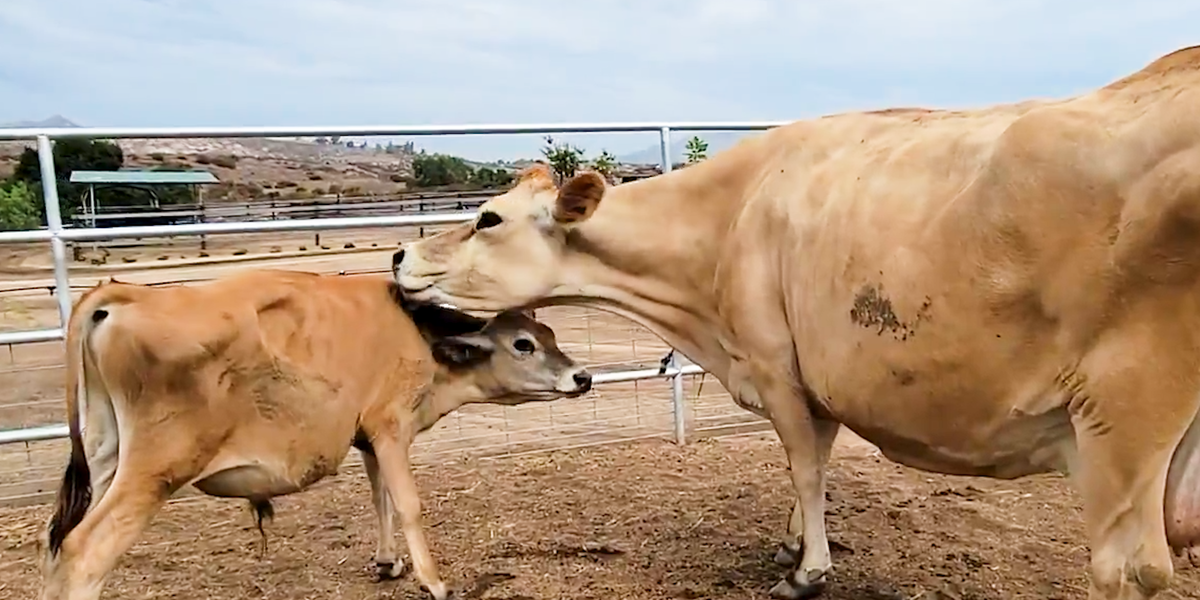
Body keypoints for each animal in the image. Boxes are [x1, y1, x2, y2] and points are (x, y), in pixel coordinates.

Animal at [38, 268, 594, 600]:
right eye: (523, 344)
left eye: (549, 335)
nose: (582, 377)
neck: (415, 333)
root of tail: (125, 296)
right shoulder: (391, 427)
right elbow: (408, 504)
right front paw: (434, 581)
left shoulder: (368, 435)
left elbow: (380, 498)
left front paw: (387, 563)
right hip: (154, 470)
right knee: (86, 550)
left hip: (108, 459)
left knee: (61, 546)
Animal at [393, 45, 1200, 600]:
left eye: (488, 218)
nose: (399, 252)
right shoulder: (820, 369)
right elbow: (818, 457)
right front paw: (791, 545)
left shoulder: (774, 362)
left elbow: (803, 464)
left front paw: (808, 571)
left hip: (1121, 414)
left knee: (1129, 568)